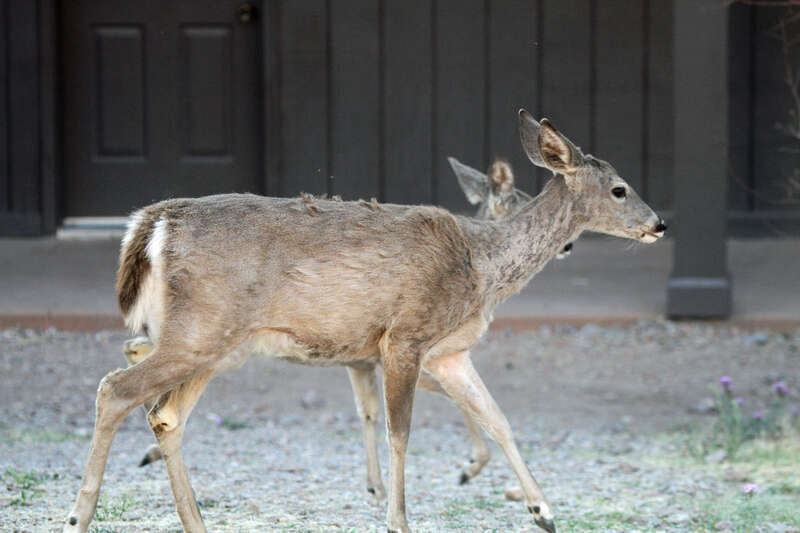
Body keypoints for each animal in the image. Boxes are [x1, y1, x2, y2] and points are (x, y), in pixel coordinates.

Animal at [124, 156, 574, 493]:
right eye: (520, 201)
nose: (568, 244)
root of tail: (154, 226)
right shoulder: (399, 351)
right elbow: (433, 403)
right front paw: (469, 466)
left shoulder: (371, 359)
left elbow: (374, 410)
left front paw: (380, 485)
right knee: (145, 360)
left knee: (138, 349)